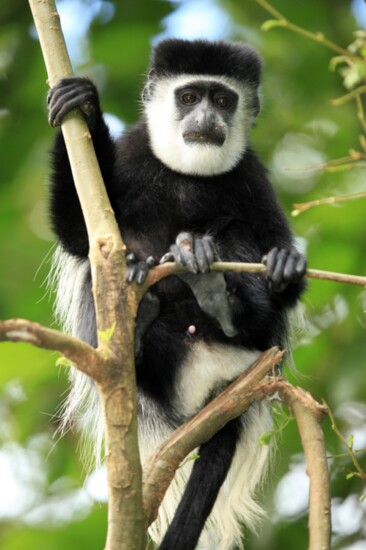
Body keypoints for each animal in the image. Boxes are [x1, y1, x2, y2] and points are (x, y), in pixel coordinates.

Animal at [48, 40, 306, 550]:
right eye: (189, 97)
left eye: (223, 99)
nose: (207, 117)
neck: (188, 174)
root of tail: (218, 387)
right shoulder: (133, 154)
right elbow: (80, 238)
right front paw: (83, 104)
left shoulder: (253, 179)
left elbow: (279, 270)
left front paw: (284, 266)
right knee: (97, 280)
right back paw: (138, 316)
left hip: (244, 349)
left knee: (234, 232)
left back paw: (215, 290)